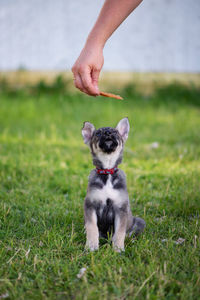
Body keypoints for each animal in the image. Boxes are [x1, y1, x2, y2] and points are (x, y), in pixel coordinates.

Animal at [81, 117, 145, 251]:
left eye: (115, 132)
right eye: (98, 133)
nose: (108, 133)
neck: (107, 172)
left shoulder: (120, 208)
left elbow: (120, 231)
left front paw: (118, 248)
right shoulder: (90, 205)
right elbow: (91, 227)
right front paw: (91, 246)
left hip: (140, 222)